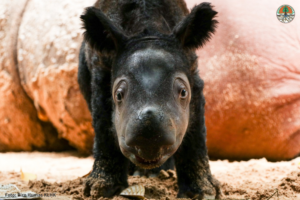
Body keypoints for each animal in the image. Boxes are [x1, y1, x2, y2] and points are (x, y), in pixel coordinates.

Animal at [78, 0, 221, 198]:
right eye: (118, 95)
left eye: (184, 92)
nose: (149, 145)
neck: (148, 32)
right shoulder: (101, 71)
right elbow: (104, 126)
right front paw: (101, 189)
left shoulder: (193, 72)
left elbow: (195, 130)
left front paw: (202, 192)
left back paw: (159, 173)